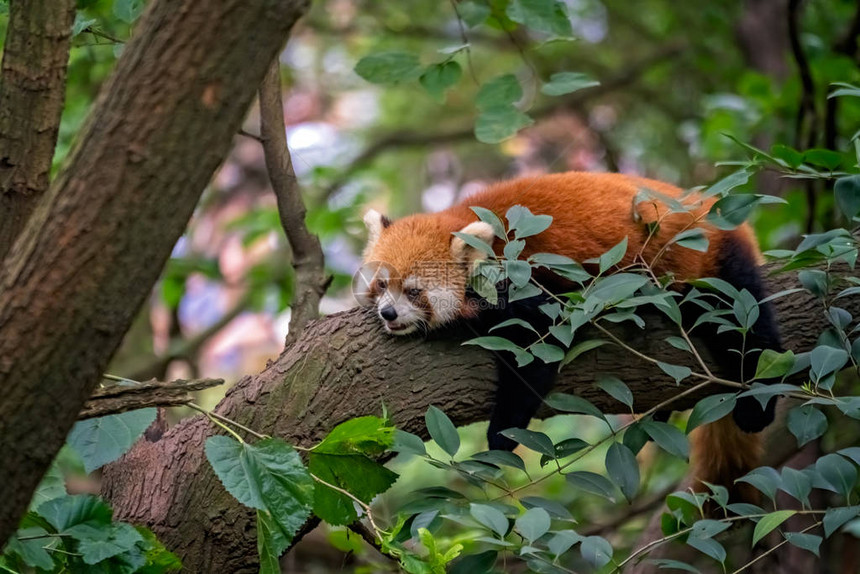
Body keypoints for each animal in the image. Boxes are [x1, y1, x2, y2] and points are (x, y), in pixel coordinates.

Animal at [360, 171, 784, 500]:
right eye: (382, 285)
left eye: (414, 291)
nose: (388, 313)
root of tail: (712, 210)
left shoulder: (528, 280)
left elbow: (537, 352)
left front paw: (501, 436)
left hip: (709, 264)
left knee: (746, 322)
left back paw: (756, 406)